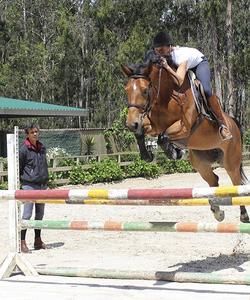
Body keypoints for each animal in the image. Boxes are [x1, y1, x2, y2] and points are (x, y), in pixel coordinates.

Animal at [122, 62, 249, 223]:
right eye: (126, 90)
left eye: (145, 91)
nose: (130, 124)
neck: (166, 97)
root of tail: (233, 122)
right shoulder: (153, 125)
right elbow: (143, 133)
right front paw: (147, 155)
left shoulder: (185, 128)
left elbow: (163, 136)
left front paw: (174, 152)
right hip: (200, 163)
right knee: (214, 180)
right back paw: (217, 212)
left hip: (230, 161)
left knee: (236, 182)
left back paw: (243, 215)